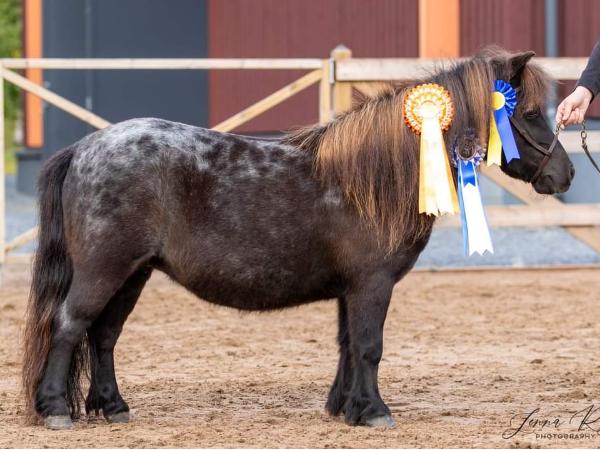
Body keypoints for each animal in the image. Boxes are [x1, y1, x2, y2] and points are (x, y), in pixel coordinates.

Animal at [22, 48, 574, 430]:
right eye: (527, 113)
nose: (564, 175)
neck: (380, 175)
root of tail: (84, 147)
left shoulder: (351, 288)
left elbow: (348, 344)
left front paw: (346, 407)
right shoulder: (372, 284)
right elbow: (369, 346)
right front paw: (375, 411)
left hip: (132, 274)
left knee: (103, 336)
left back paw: (112, 407)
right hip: (105, 270)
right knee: (69, 325)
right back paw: (55, 410)